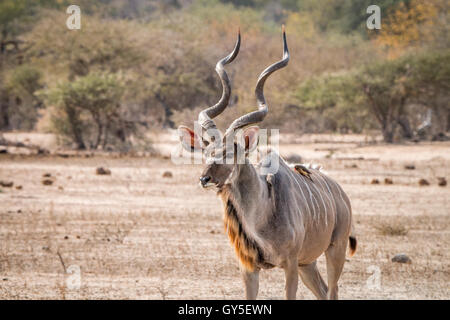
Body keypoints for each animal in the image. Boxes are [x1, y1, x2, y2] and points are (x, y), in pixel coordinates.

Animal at [178, 26, 356, 300]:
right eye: (206, 152)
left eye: (230, 153)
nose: (204, 178)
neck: (263, 211)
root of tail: (341, 193)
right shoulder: (249, 268)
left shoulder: (290, 264)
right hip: (308, 264)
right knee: (323, 290)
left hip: (334, 251)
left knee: (333, 291)